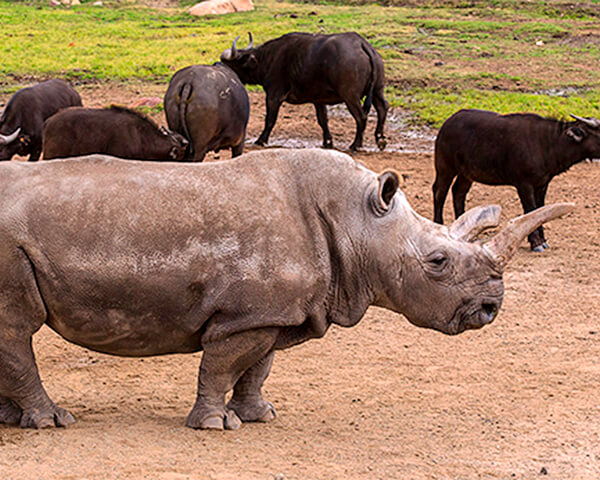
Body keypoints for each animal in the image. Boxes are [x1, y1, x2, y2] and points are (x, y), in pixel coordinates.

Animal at [0, 148, 572, 430]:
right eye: (437, 262)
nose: (490, 308)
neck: (359, 221)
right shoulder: (246, 313)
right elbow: (222, 365)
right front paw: (215, 426)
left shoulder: (277, 309)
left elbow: (259, 366)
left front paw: (258, 416)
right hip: (10, 244)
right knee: (17, 329)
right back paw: (51, 423)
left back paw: (14, 422)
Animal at [220, 31, 390, 151]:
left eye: (231, 64)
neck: (268, 59)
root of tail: (362, 43)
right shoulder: (319, 100)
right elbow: (323, 120)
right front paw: (328, 141)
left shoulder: (274, 95)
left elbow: (270, 119)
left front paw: (261, 140)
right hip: (377, 90)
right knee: (383, 108)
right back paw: (380, 139)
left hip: (351, 96)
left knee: (361, 117)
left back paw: (356, 144)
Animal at [436, 109, 600, 251]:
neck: (547, 144)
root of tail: (447, 124)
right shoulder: (524, 185)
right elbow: (531, 210)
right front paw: (536, 243)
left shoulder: (542, 184)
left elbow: (541, 210)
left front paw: (543, 241)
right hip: (445, 167)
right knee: (439, 192)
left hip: (467, 174)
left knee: (458, 192)